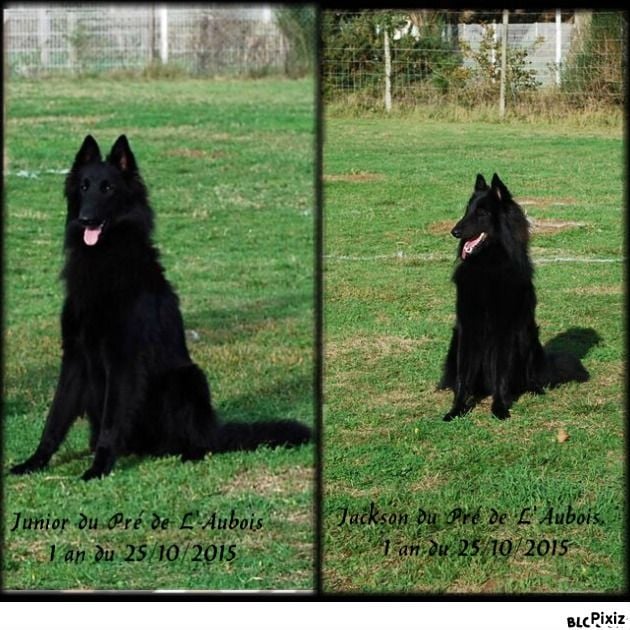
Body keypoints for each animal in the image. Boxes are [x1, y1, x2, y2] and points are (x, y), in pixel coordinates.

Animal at [11, 136, 312, 482]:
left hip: (187, 378)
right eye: (84, 186)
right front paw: (35, 461)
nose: (86, 218)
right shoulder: (74, 357)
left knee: (198, 441)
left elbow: (111, 421)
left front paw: (99, 468)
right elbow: (55, 417)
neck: (104, 259)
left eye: (108, 188)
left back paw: (189, 453)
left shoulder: (123, 360)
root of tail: (214, 430)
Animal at [440, 173, 592, 422]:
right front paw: (457, 409)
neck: (488, 266)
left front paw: (500, 407)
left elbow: (502, 373)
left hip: (528, 337)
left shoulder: (506, 330)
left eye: (482, 213)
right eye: (467, 210)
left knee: (529, 377)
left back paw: (533, 388)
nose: (454, 231)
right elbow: (463, 375)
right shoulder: (467, 328)